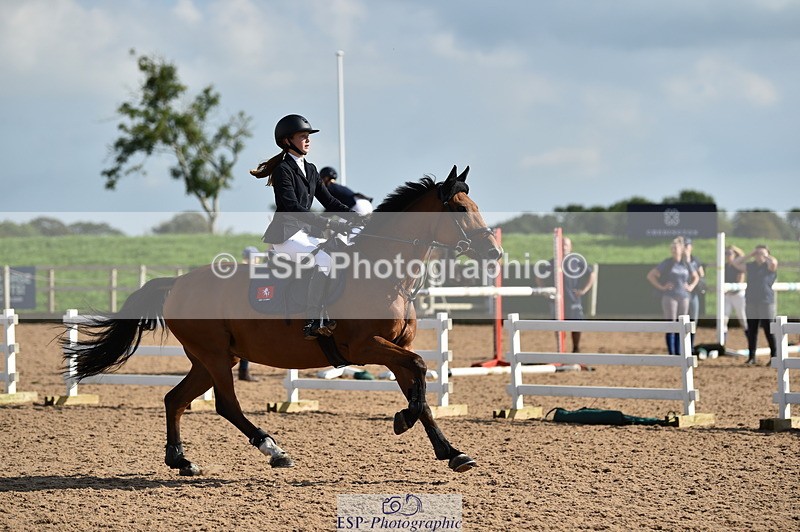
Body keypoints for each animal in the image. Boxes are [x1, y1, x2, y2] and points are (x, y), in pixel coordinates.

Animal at [64, 165, 502, 476]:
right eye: (460, 210)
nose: (495, 253)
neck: (384, 275)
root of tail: (177, 283)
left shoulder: (395, 349)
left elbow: (421, 392)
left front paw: (452, 452)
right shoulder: (367, 347)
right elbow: (422, 370)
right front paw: (402, 420)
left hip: (208, 358)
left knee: (176, 399)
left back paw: (181, 461)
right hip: (215, 355)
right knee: (226, 404)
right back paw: (273, 450)